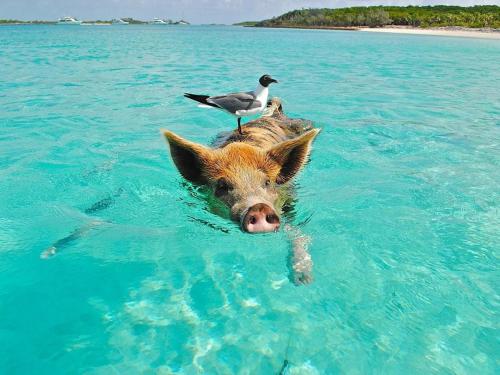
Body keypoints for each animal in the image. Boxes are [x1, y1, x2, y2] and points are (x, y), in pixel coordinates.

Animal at [163, 98, 320, 284]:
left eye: (267, 182)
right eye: (222, 186)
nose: (259, 207)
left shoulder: (290, 198)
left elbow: (296, 231)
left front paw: (303, 279)